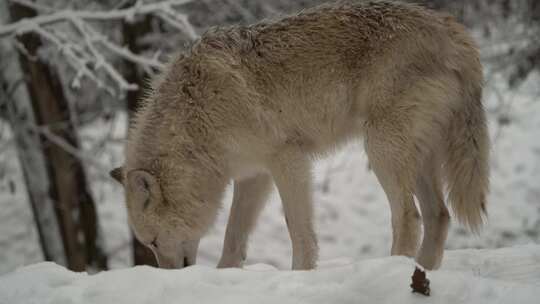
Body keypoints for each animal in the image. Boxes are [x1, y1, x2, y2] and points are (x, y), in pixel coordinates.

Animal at [109, 0, 490, 282]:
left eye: (154, 242)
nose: (169, 276)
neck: (194, 115)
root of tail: (453, 30)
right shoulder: (253, 176)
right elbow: (234, 238)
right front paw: (225, 276)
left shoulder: (287, 160)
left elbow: (299, 231)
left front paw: (301, 275)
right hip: (416, 158)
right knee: (439, 215)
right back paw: (420, 273)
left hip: (381, 151)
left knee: (410, 218)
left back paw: (390, 271)